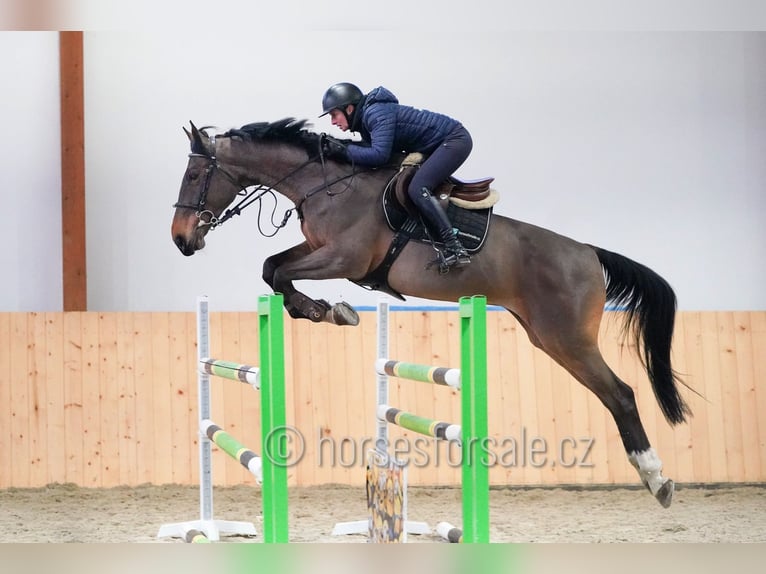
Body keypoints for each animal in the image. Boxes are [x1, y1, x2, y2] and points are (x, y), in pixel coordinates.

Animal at [171, 118, 692, 508]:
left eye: (194, 176)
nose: (181, 239)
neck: (325, 184)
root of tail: (587, 252)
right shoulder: (318, 249)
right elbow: (272, 267)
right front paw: (324, 309)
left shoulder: (344, 258)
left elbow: (279, 273)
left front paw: (328, 310)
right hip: (546, 336)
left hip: (567, 339)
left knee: (620, 394)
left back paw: (656, 478)